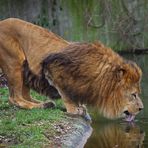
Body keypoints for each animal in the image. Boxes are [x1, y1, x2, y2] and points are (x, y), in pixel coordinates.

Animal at [0, 17, 143, 121]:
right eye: (133, 94)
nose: (141, 109)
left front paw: (80, 107)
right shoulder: (52, 68)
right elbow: (66, 93)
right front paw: (74, 109)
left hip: (24, 70)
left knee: (25, 95)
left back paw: (46, 103)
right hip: (15, 62)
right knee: (15, 98)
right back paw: (41, 105)